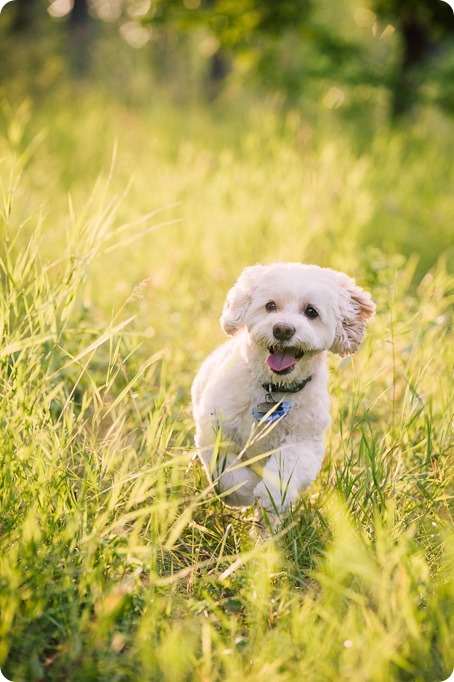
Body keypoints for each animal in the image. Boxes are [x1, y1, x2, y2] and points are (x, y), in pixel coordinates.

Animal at [192, 262, 376, 524]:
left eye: (311, 311)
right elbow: (227, 473)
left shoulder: (304, 443)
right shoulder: (213, 432)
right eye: (270, 306)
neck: (274, 389)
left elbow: (286, 472)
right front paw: (245, 491)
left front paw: (271, 496)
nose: (282, 329)